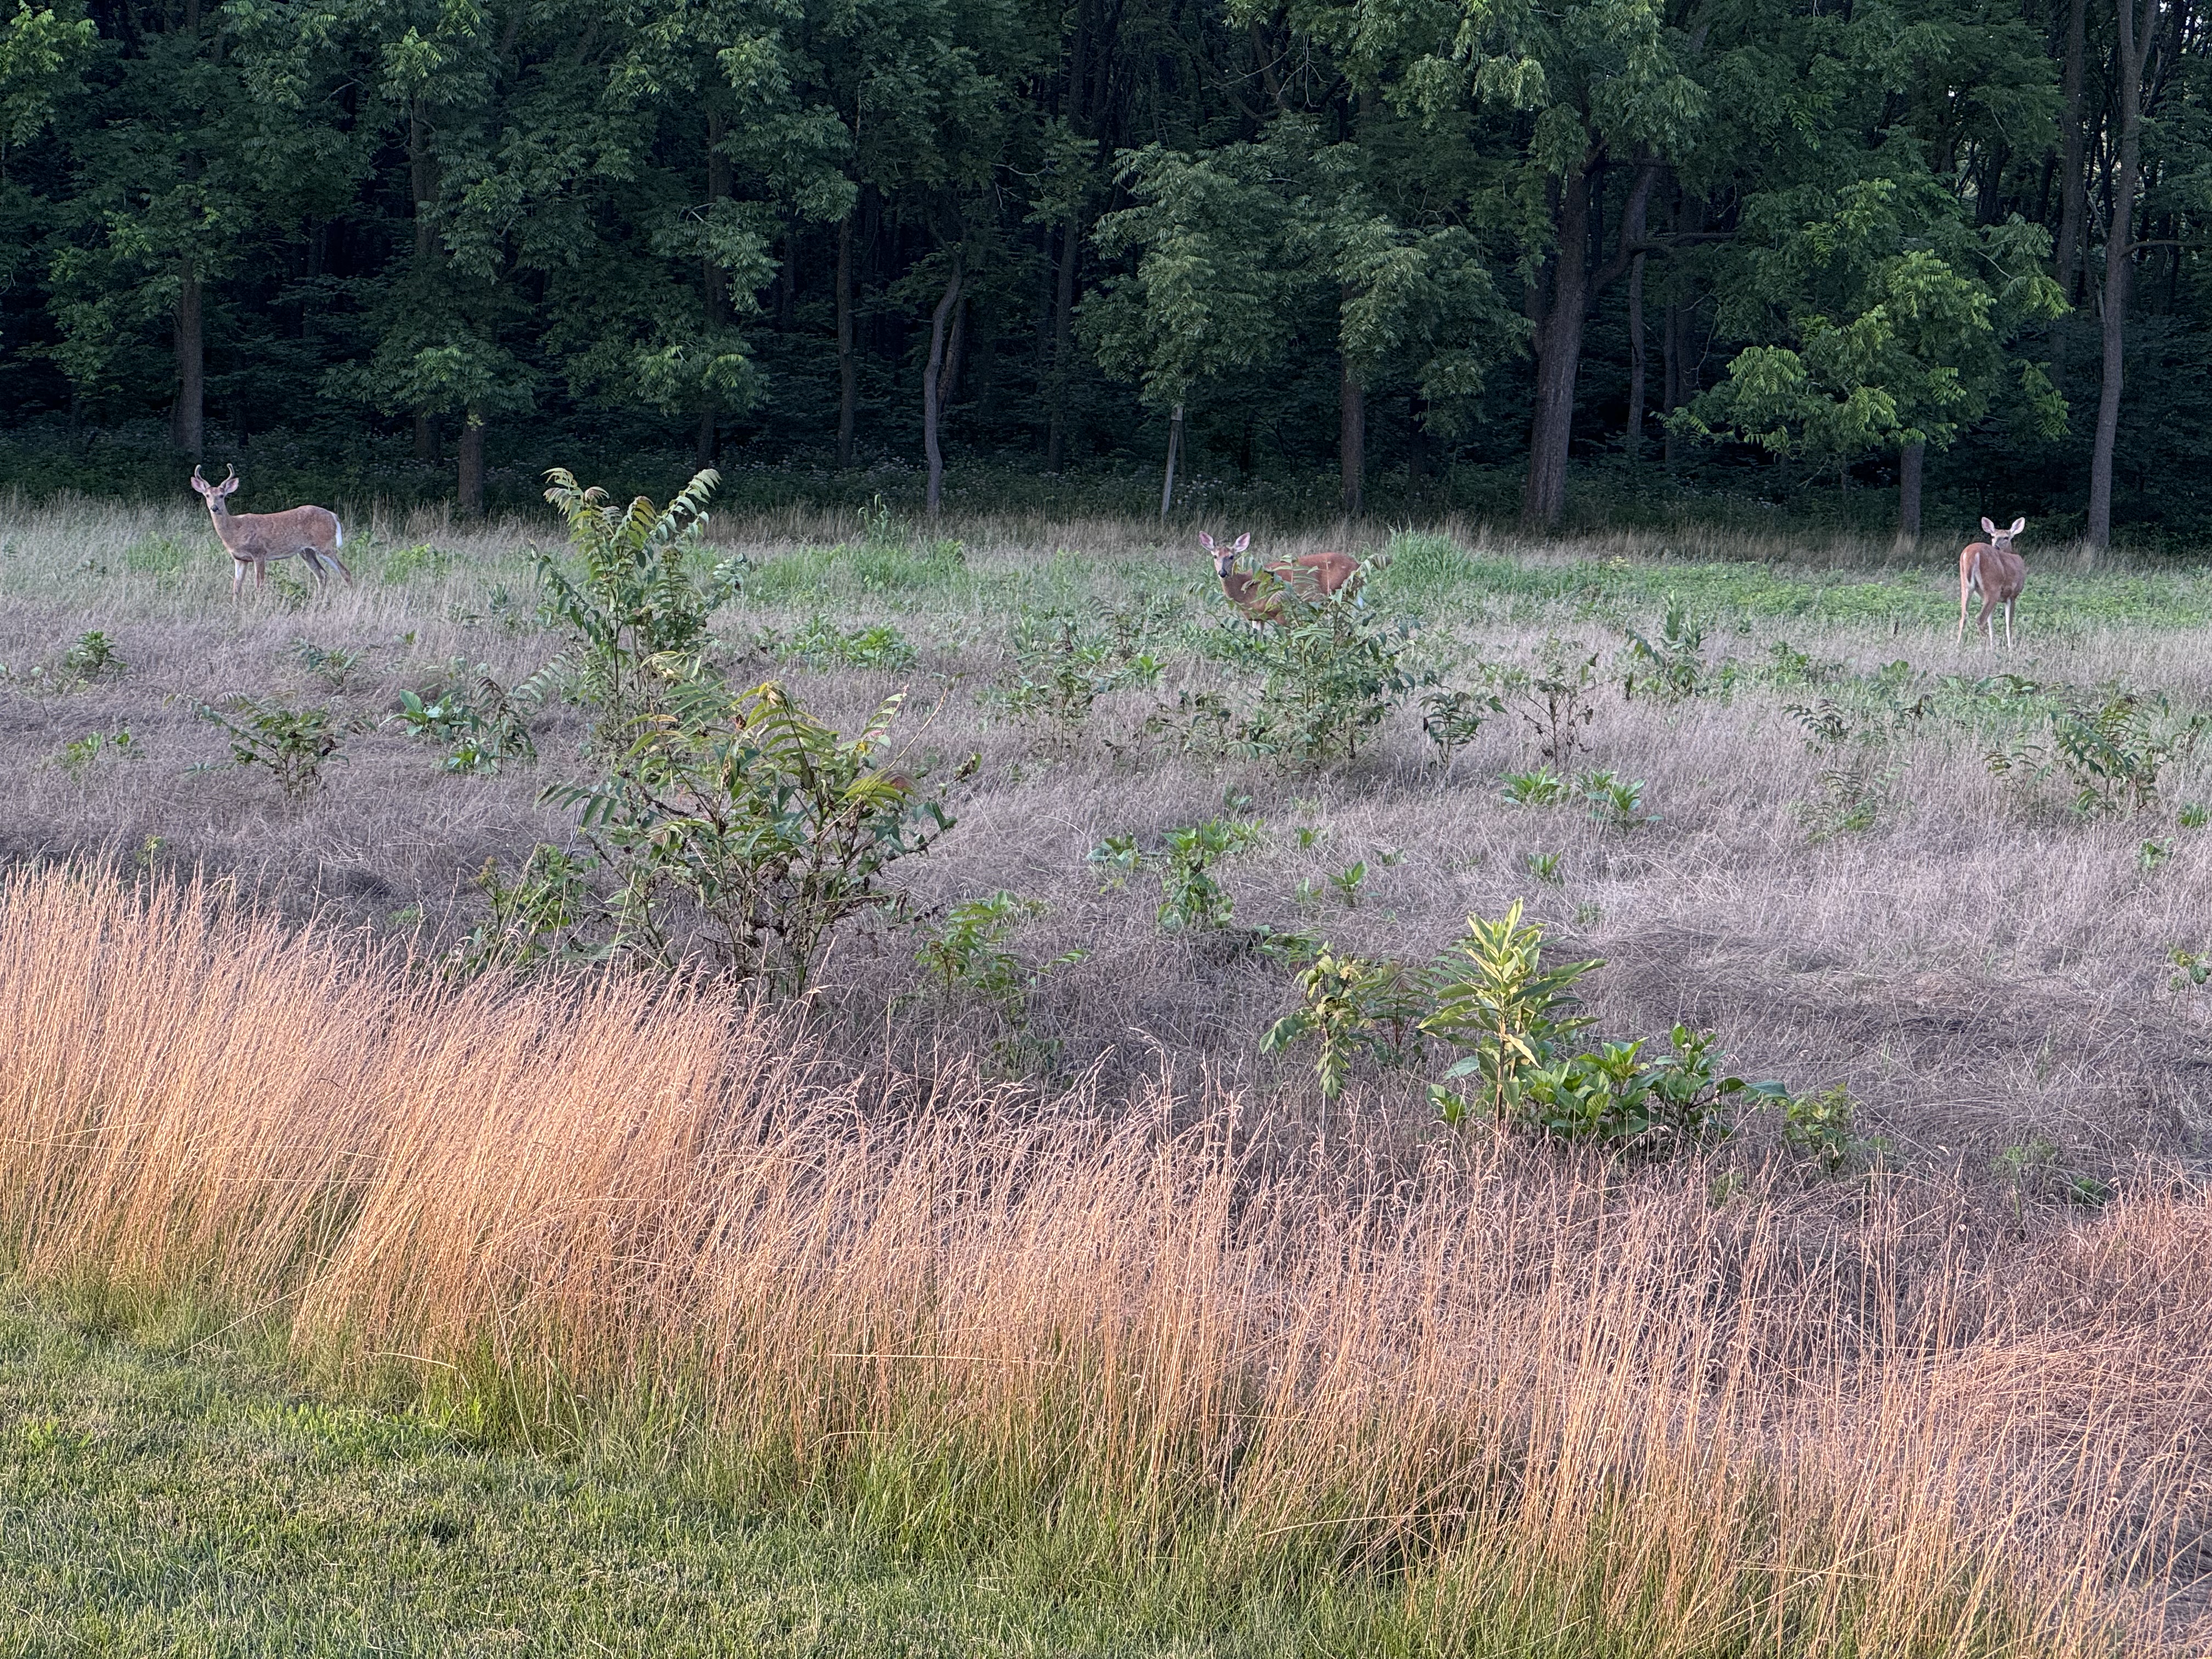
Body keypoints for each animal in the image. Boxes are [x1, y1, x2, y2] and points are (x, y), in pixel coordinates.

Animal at [189, 466, 351, 601]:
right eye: (207, 495)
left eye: (222, 495)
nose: (214, 508)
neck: (235, 530)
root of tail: (333, 515)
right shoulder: (240, 559)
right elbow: (236, 587)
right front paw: (235, 607)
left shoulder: (259, 553)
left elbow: (259, 585)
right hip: (306, 551)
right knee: (322, 575)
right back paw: (318, 601)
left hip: (324, 544)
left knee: (345, 572)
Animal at [1200, 532, 1360, 624]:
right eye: (1215, 556)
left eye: (1232, 557)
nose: (1222, 573)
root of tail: (1357, 565)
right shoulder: (1256, 618)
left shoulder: (1281, 607)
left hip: (1339, 594)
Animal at [1956, 515, 2027, 650]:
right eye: (1993, 536)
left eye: (2006, 537)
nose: (1996, 546)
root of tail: (1972, 554)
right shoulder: (2012, 595)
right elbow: (2009, 624)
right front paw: (2010, 648)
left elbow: (1991, 623)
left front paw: (1993, 645)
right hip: (1993, 588)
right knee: (1980, 620)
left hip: (1966, 586)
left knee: (1964, 617)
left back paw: (1957, 646)